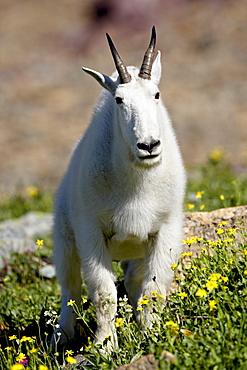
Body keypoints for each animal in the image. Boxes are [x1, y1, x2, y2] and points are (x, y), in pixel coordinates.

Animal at [53, 27, 186, 348]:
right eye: (118, 100)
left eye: (157, 94)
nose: (149, 145)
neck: (137, 184)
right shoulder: (90, 231)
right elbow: (103, 294)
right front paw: (105, 346)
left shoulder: (166, 228)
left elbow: (154, 290)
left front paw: (151, 335)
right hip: (64, 238)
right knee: (70, 289)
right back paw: (61, 337)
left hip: (136, 251)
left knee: (134, 281)